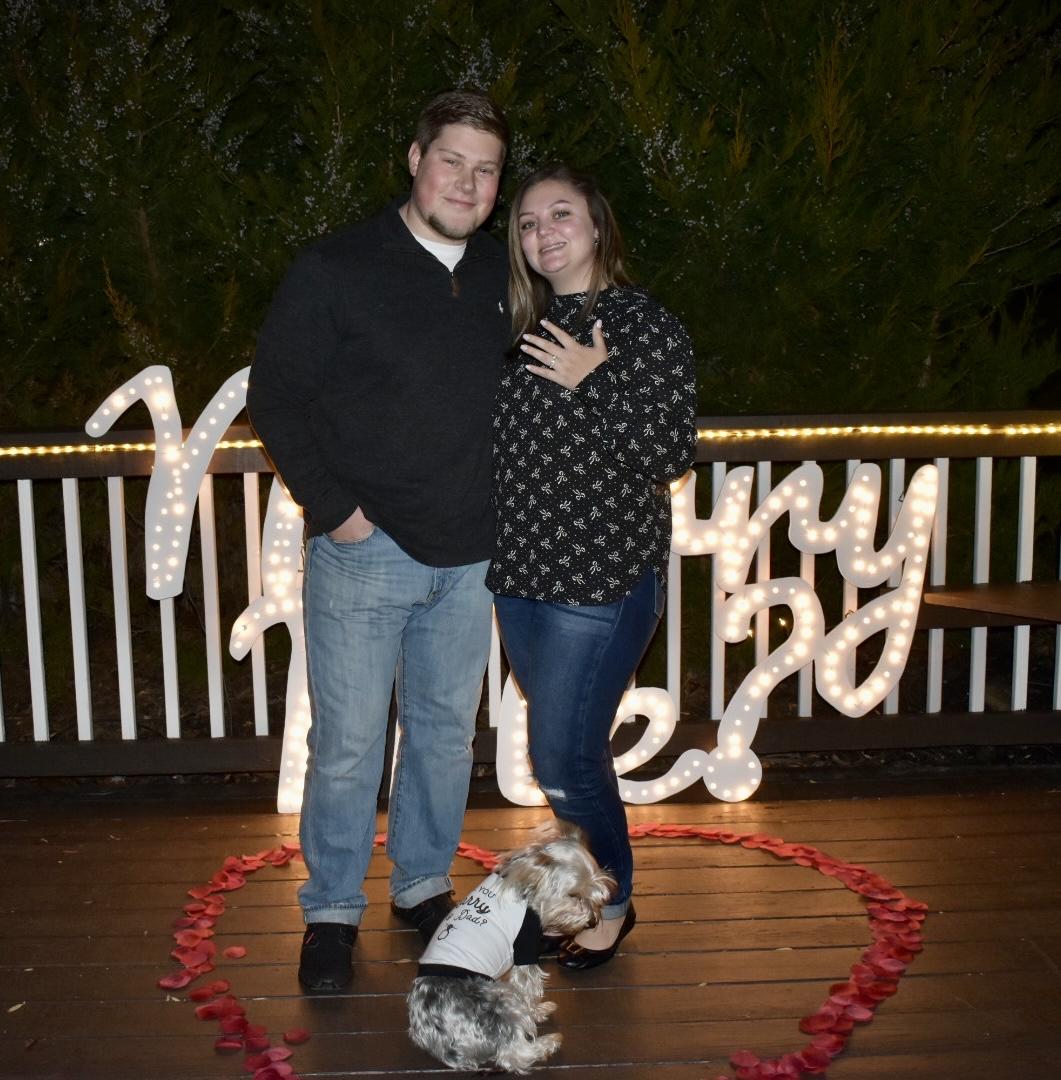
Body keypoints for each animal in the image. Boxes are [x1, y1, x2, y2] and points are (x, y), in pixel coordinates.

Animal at [406, 821, 615, 1074]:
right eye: (573, 895)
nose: (592, 922)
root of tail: (442, 1045)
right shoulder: (524, 948)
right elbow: (527, 989)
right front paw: (534, 1010)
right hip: (499, 1000)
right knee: (513, 1055)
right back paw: (548, 1043)